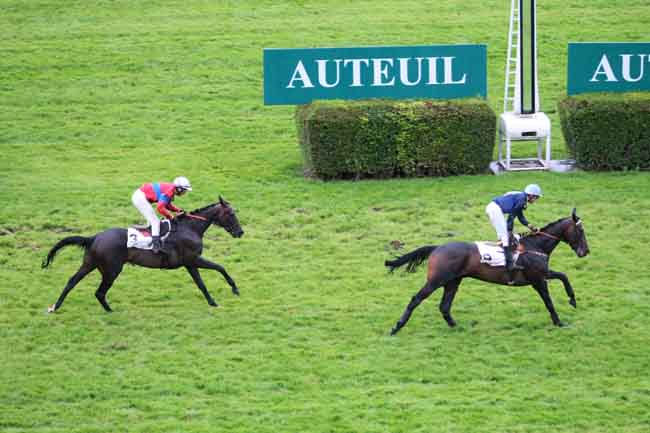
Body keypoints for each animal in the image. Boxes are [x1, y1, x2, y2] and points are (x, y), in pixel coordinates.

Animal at [41, 195, 243, 310]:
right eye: (231, 214)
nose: (240, 232)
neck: (190, 228)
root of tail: (94, 237)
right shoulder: (192, 260)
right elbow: (218, 269)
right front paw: (232, 290)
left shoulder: (189, 263)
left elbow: (203, 281)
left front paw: (214, 300)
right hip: (112, 270)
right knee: (99, 292)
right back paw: (109, 311)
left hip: (90, 263)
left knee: (72, 281)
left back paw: (55, 307)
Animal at [384, 208, 588, 332]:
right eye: (581, 231)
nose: (586, 251)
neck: (536, 246)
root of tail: (437, 247)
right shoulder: (538, 279)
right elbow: (549, 300)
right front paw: (559, 321)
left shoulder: (542, 275)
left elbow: (563, 276)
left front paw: (572, 300)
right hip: (436, 280)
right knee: (416, 299)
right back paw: (397, 327)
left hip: (453, 281)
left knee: (444, 306)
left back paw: (456, 326)